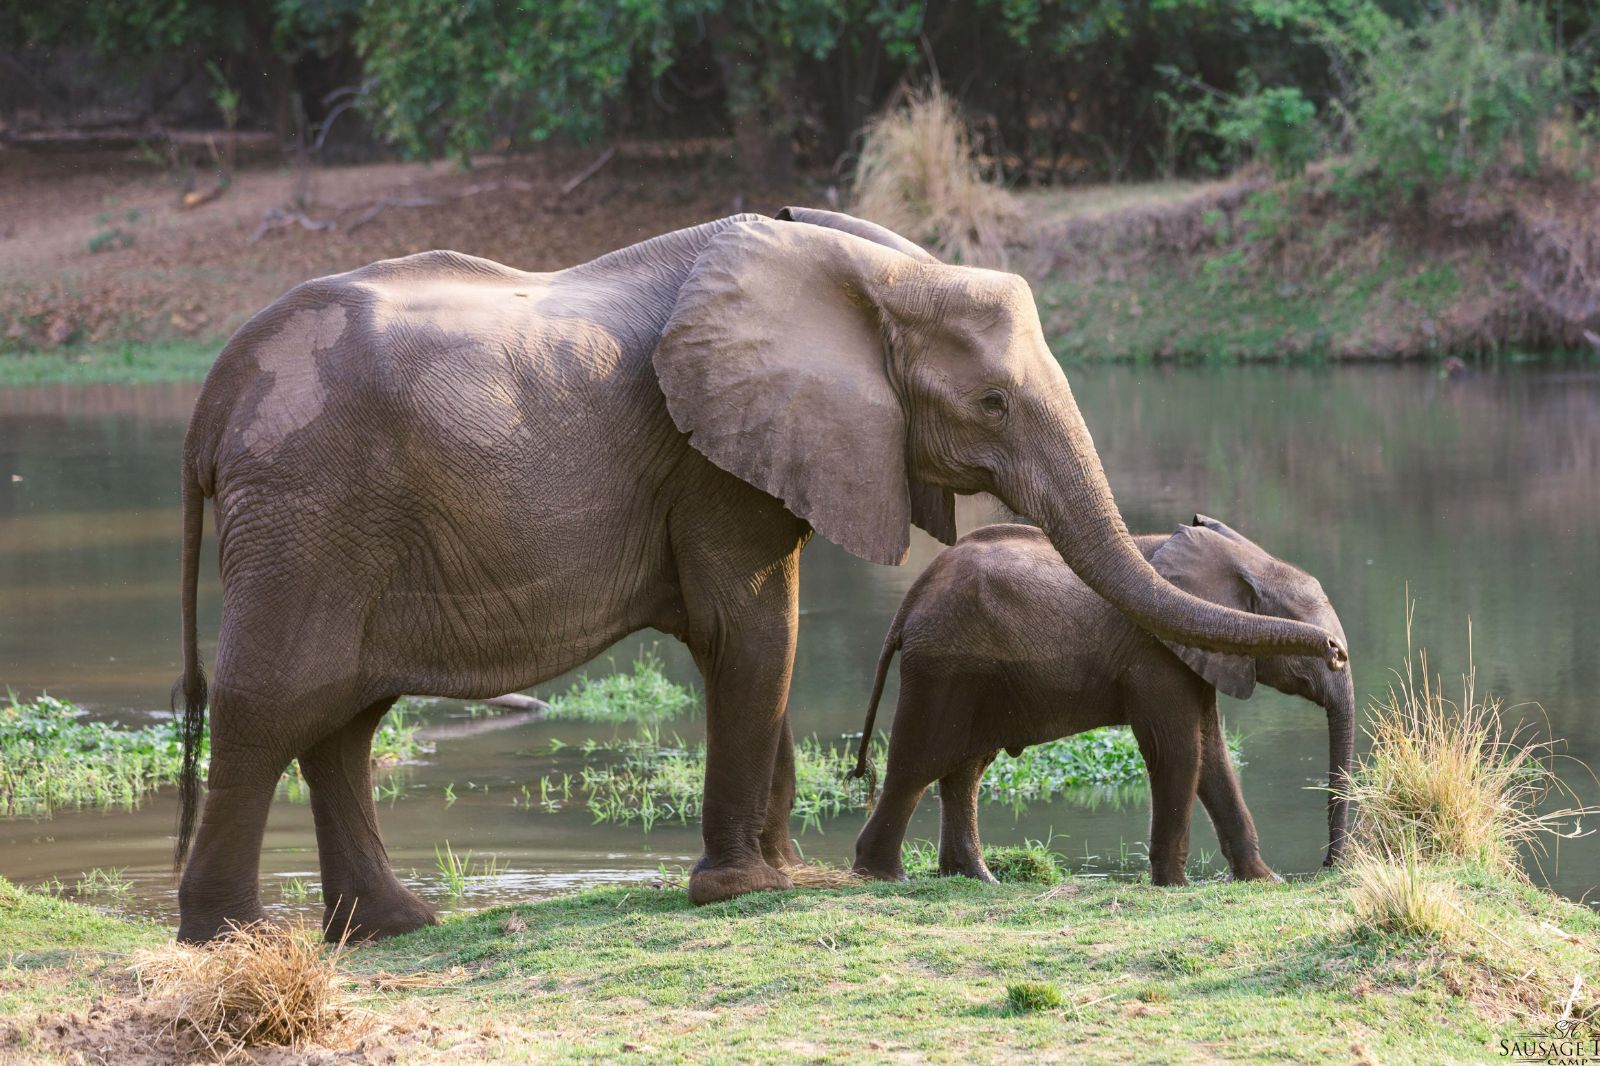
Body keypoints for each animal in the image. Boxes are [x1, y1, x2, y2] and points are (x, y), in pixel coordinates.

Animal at [850, 516, 1354, 886]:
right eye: (1310, 645)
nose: (1328, 867)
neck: (1241, 563)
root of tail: (913, 599)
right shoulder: (1155, 652)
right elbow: (1178, 750)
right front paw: (1173, 886)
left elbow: (1212, 754)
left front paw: (1265, 881)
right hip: (944, 666)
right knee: (916, 765)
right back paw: (884, 876)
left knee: (965, 770)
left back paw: (977, 878)